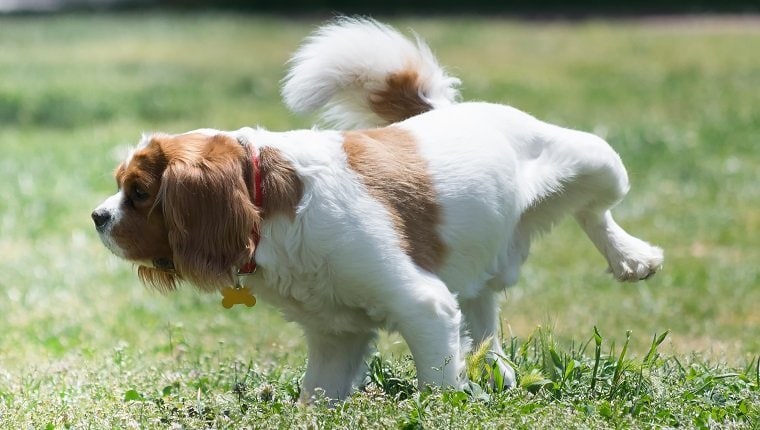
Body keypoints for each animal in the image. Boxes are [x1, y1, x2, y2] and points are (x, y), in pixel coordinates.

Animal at [89, 18, 664, 402]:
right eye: (121, 188)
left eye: (138, 192)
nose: (97, 217)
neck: (269, 209)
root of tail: (448, 111)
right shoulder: (335, 339)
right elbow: (316, 398)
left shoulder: (424, 307)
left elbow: (438, 388)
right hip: (477, 271)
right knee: (485, 321)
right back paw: (496, 373)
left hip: (596, 159)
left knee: (596, 209)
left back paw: (631, 257)